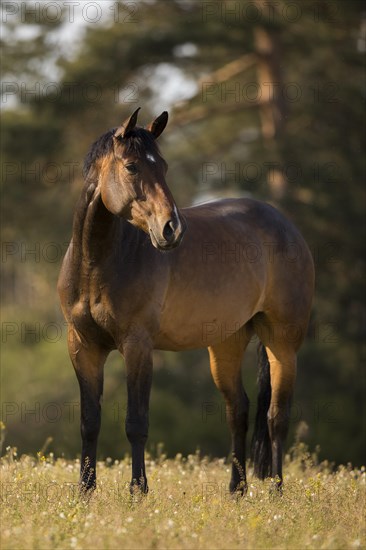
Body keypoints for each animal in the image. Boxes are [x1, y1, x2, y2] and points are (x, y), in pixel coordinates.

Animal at [58, 108, 314, 496]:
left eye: (163, 166)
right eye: (131, 166)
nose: (172, 229)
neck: (96, 265)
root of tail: (286, 226)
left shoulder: (137, 345)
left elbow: (136, 422)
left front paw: (138, 491)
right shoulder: (83, 346)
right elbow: (90, 422)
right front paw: (85, 492)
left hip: (282, 342)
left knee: (276, 417)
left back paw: (276, 491)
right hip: (226, 343)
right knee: (238, 410)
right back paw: (236, 491)